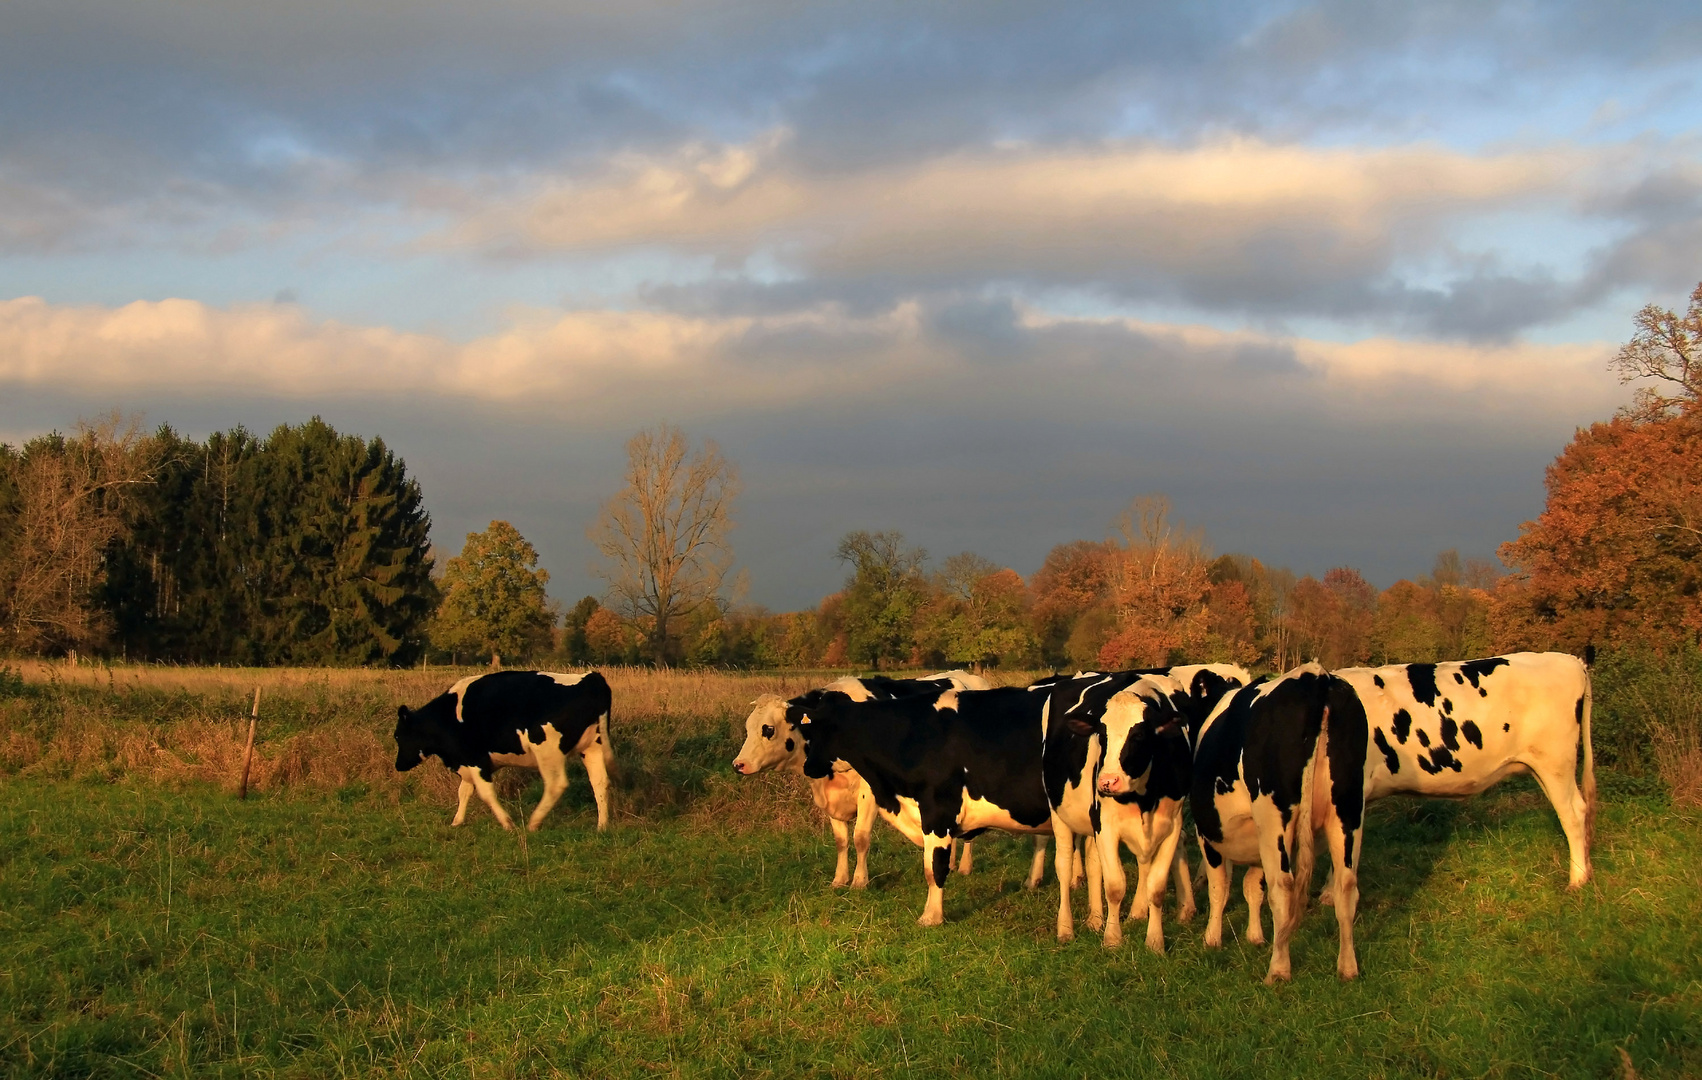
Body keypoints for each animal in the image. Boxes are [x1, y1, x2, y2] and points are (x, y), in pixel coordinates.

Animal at [394, 673, 616, 833]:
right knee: (600, 782)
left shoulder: (475, 759)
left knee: (556, 784)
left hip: (548, 751)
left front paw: (507, 823)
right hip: (592, 747)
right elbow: (464, 791)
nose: (398, 765)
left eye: (397, 736)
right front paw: (457, 821)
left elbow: (485, 793)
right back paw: (602, 826)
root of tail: (591, 678)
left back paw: (534, 822)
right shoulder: (468, 761)